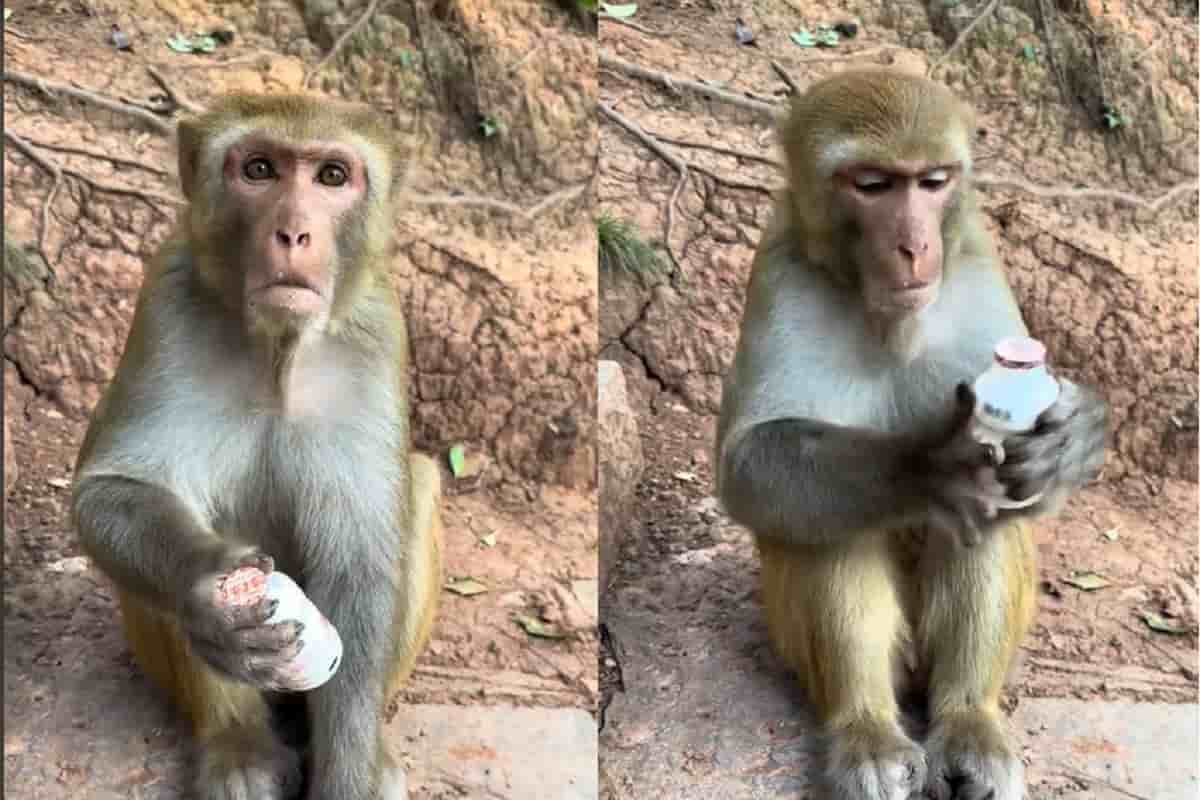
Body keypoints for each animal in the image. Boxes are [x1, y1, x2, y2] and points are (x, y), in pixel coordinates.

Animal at [71, 95, 446, 800]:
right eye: (260, 169)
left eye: (332, 177)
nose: (293, 233)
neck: (278, 347)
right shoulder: (166, 298)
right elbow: (112, 490)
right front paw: (209, 593)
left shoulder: (377, 333)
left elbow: (361, 562)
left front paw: (350, 776)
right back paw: (238, 748)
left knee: (422, 481)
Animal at [710, 67, 1104, 800]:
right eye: (872, 185)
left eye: (932, 182)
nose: (915, 246)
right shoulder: (779, 274)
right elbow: (750, 461)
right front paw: (929, 465)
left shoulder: (976, 261)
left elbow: (1030, 486)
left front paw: (1073, 435)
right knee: (824, 517)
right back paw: (866, 732)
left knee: (988, 520)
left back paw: (967, 721)